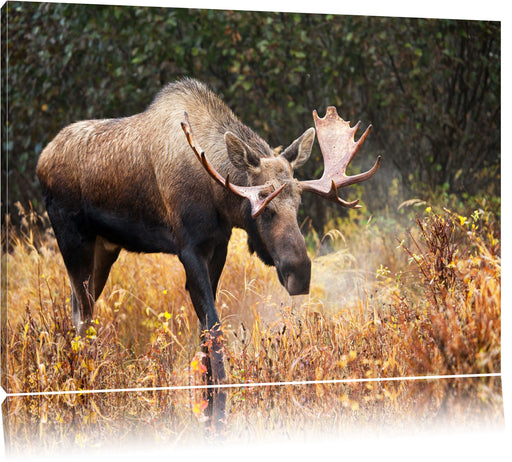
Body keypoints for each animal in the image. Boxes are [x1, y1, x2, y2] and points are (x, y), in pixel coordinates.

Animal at [36, 78, 380, 382]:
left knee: (81, 308)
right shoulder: (188, 249)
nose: (300, 272)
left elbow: (204, 333)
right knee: (82, 315)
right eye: (264, 208)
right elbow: (214, 328)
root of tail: (41, 160)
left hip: (105, 247)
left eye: (298, 205)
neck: (217, 195)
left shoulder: (219, 245)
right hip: (72, 238)